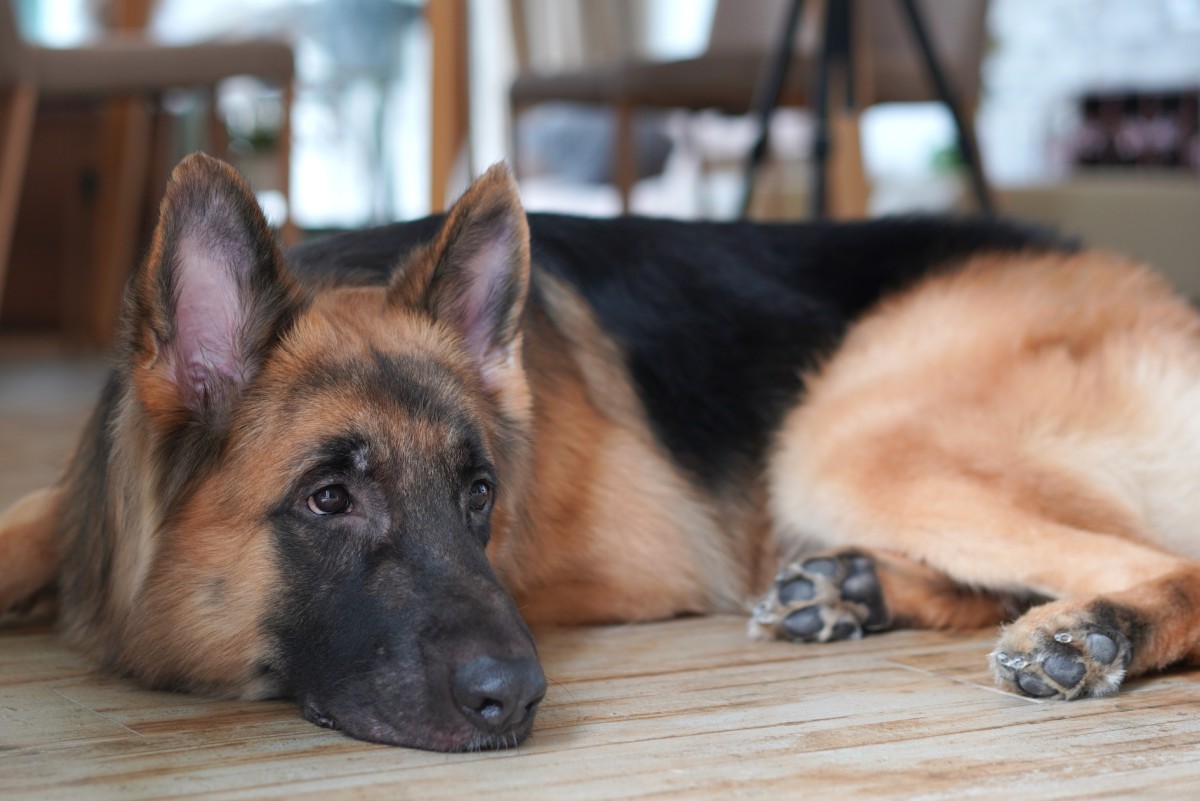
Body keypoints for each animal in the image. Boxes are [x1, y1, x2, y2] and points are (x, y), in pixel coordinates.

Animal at [2, 153, 1200, 753]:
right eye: (329, 498)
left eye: (481, 494)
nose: (520, 701)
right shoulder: (67, 506)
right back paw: (848, 588)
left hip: (843, 437)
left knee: (1159, 559)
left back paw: (1090, 633)